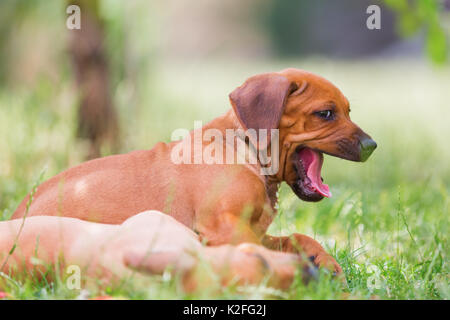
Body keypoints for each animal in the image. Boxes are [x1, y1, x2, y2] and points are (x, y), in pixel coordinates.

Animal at [14, 69, 376, 274]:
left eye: (348, 111)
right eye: (325, 114)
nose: (371, 145)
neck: (244, 148)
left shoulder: (250, 229)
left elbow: (297, 238)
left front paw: (325, 263)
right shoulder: (224, 227)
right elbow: (254, 250)